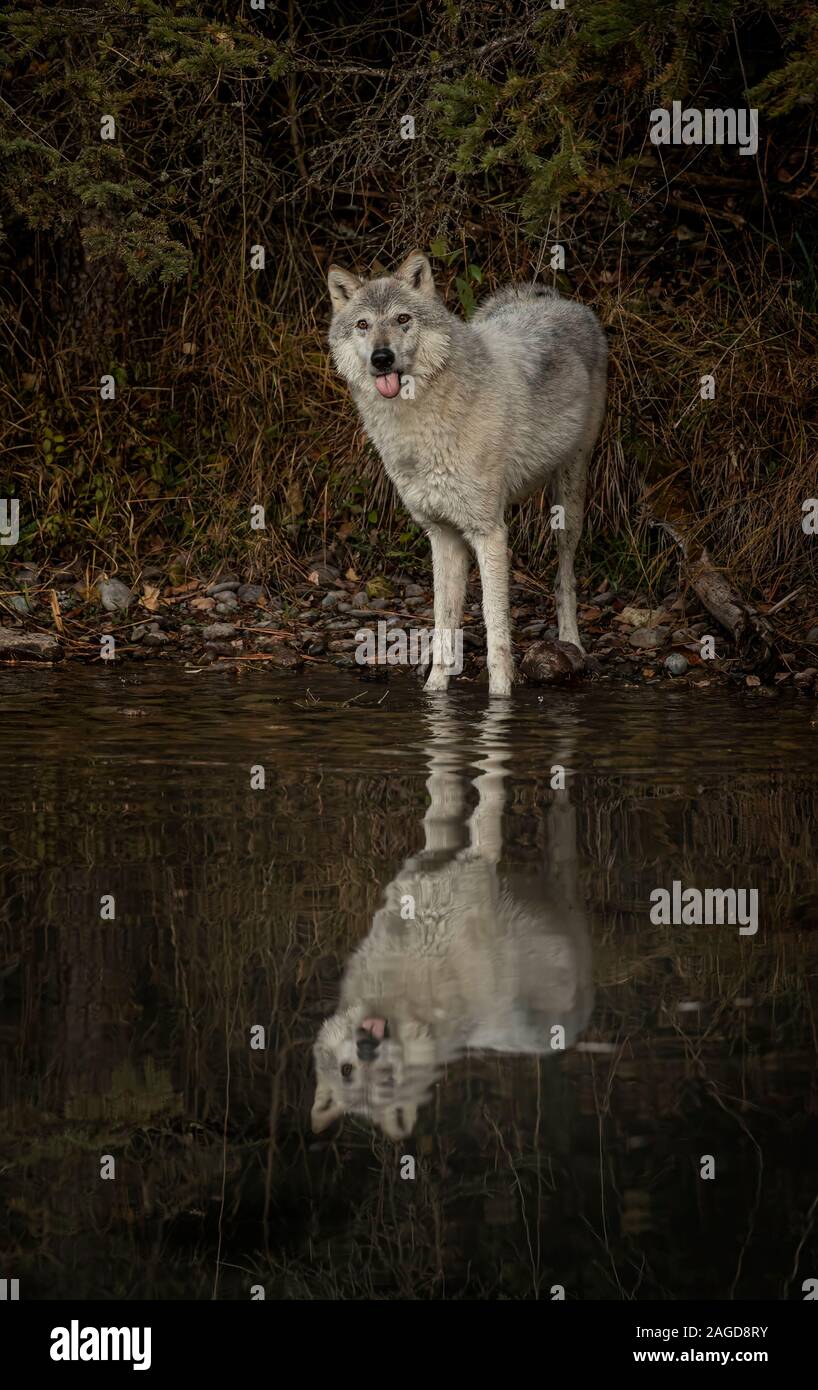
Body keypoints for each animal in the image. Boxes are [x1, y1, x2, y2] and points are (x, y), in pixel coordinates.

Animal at [311, 707, 593, 1140]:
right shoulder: (437, 856)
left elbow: (486, 771)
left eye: (388, 1079)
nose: (366, 1047)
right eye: (347, 1071)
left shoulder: (474, 856)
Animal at [327, 251, 607, 695]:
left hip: (570, 496)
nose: (381, 358)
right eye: (363, 325)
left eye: (403, 319)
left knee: (565, 574)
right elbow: (444, 624)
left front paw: (500, 699)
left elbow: (496, 632)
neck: (418, 426)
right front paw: (434, 692)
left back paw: (572, 642)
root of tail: (549, 297)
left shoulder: (488, 533)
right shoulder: (442, 535)